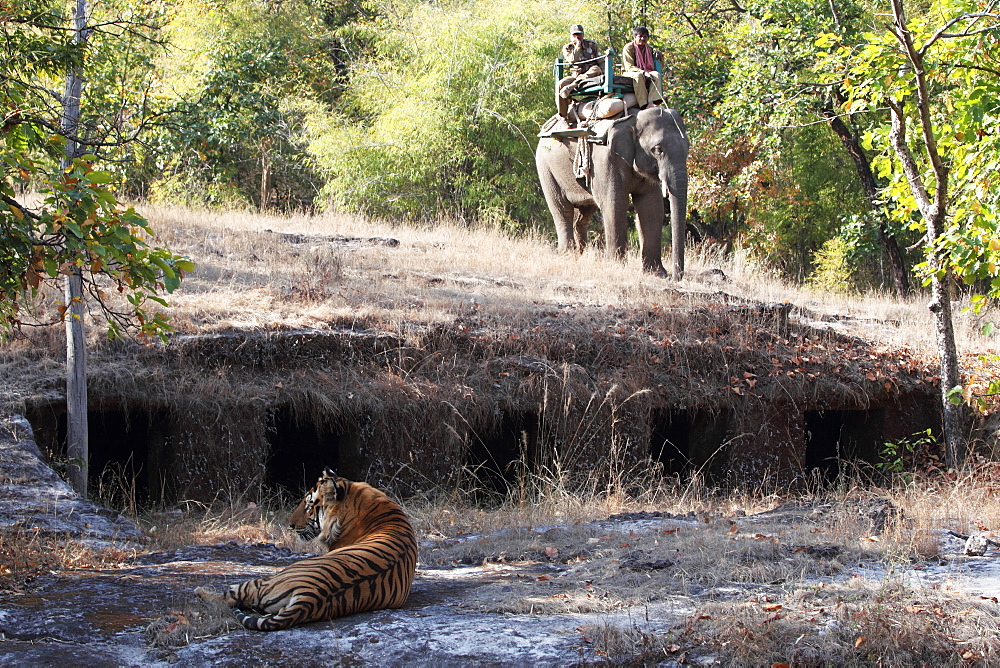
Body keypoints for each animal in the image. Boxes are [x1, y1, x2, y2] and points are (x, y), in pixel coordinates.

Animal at [195, 470, 418, 632]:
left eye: (309, 506)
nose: (290, 525)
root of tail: (309, 597)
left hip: (269, 579)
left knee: (230, 597)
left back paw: (200, 591)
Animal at [540, 105, 688, 278]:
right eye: (657, 149)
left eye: (688, 147)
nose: (675, 277)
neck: (633, 118)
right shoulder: (605, 158)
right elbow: (614, 202)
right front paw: (616, 267)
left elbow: (651, 206)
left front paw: (657, 274)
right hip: (546, 167)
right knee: (563, 210)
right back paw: (568, 255)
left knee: (584, 213)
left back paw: (582, 256)